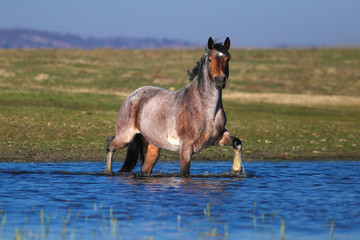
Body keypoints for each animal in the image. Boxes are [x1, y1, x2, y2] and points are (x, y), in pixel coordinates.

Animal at [105, 37, 243, 176]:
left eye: (227, 59)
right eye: (210, 59)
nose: (220, 80)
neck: (208, 112)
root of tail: (132, 95)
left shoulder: (219, 137)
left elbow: (237, 143)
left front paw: (236, 170)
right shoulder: (186, 148)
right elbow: (184, 172)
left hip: (153, 146)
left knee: (145, 168)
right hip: (125, 137)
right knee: (110, 143)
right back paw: (108, 171)